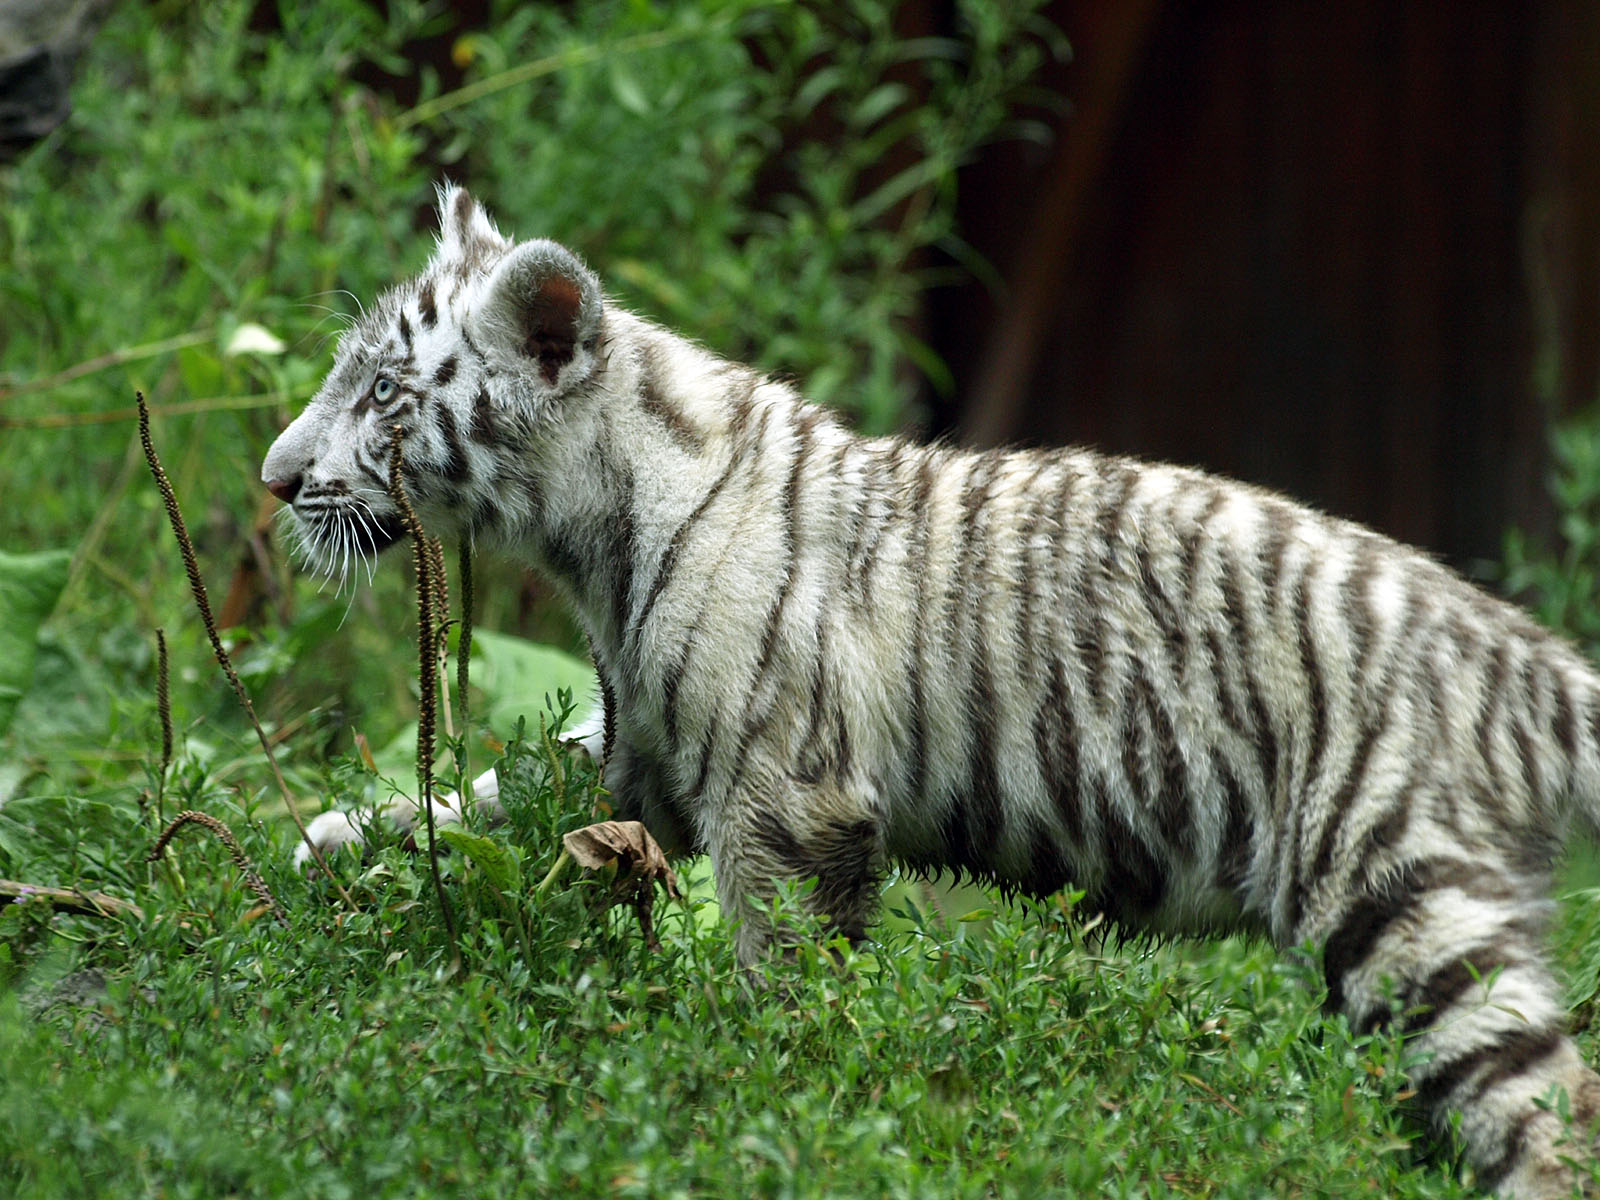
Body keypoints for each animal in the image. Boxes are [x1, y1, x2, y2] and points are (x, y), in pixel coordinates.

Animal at [263, 185, 1600, 1197]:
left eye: (383, 395)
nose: (275, 480)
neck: (592, 538)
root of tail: (1518, 651)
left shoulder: (780, 796)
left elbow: (781, 973)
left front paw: (760, 1105)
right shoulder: (643, 751)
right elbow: (489, 791)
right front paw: (325, 845)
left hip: (1405, 896)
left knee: (1547, 1113)